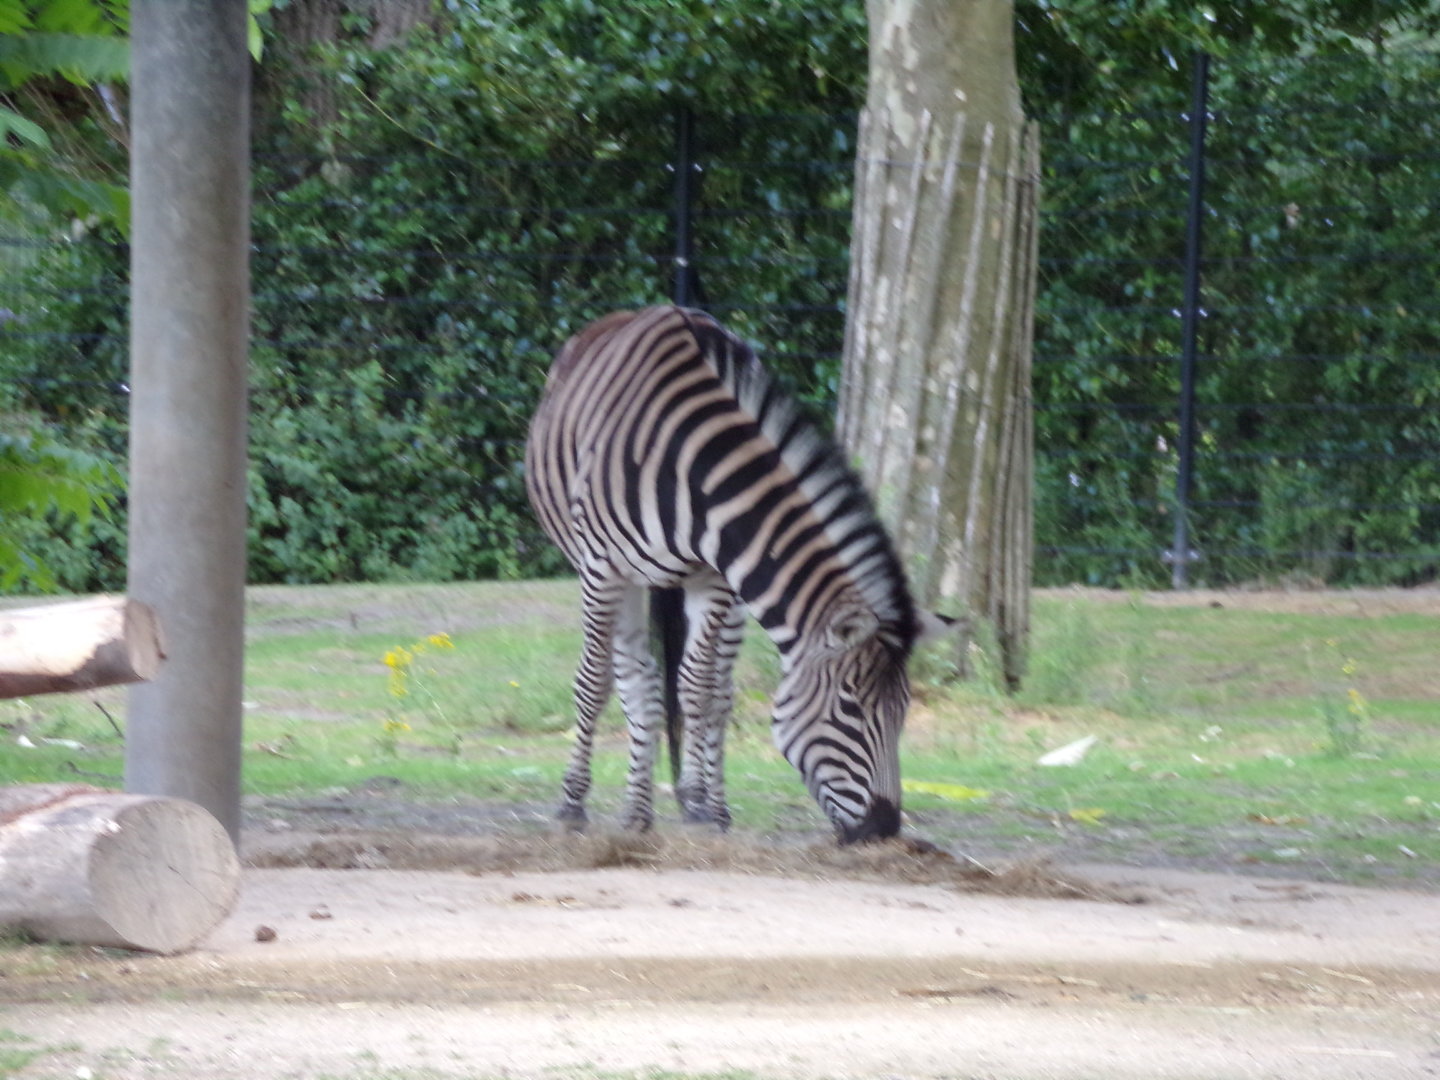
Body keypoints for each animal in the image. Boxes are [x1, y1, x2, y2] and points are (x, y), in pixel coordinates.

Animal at [524, 305, 948, 843]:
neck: (694, 468)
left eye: (904, 709)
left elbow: (698, 688)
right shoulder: (602, 565)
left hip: (728, 596)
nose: (885, 828)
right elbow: (594, 683)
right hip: (617, 577)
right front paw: (573, 803)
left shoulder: (718, 577)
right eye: (850, 707)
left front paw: (704, 806)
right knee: (635, 677)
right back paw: (632, 809)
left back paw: (694, 802)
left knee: (712, 690)